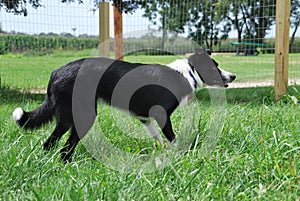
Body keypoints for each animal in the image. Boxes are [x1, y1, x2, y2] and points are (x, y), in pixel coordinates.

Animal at [12, 48, 236, 161]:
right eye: (214, 67)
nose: (233, 76)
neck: (187, 73)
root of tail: (55, 73)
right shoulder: (162, 115)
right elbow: (172, 138)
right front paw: (181, 156)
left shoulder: (145, 118)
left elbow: (158, 138)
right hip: (81, 116)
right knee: (60, 146)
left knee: (55, 144)